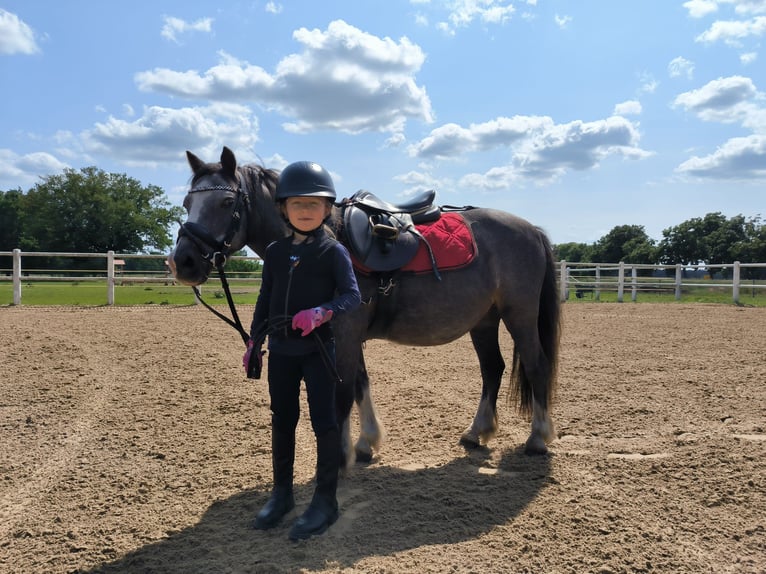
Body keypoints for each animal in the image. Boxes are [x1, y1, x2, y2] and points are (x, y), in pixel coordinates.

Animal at [168, 146, 561, 469]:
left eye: (226, 203)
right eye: (187, 203)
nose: (182, 262)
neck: (323, 241)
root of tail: (532, 229)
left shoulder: (344, 333)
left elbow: (343, 392)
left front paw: (341, 454)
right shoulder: (345, 334)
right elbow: (359, 383)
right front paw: (366, 444)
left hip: (519, 315)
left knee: (537, 366)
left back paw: (538, 438)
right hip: (484, 321)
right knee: (492, 369)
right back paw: (476, 432)